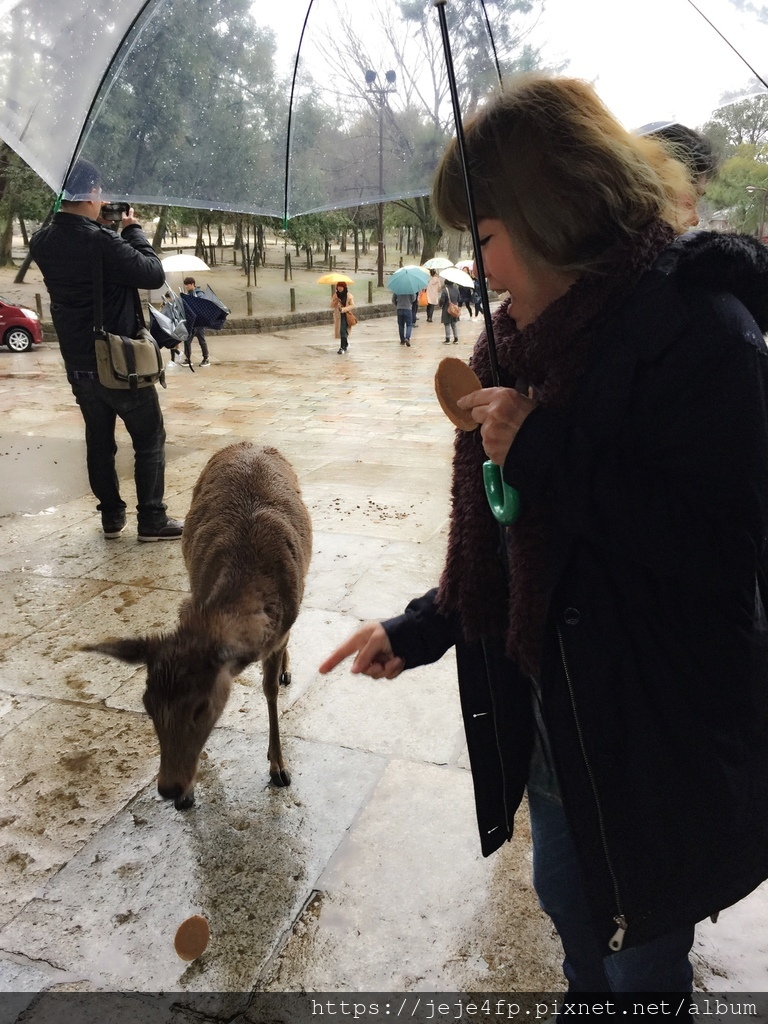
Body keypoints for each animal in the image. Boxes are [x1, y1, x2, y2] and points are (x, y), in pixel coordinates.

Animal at [84, 444, 313, 811]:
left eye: (202, 706)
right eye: (146, 704)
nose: (169, 788)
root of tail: (249, 444)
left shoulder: (280, 629)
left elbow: (269, 691)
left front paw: (278, 767)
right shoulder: (192, 602)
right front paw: (191, 791)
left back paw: (286, 671)